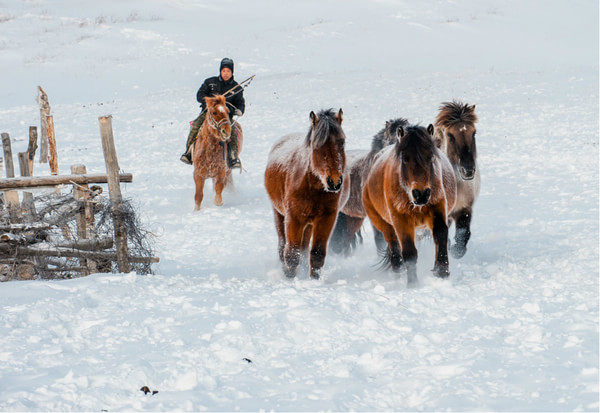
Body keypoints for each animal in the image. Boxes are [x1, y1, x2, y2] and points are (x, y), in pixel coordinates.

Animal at [264, 108, 350, 278]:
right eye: (316, 146)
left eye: (342, 142)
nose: (334, 181)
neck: (313, 187)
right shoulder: (293, 217)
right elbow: (291, 253)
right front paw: (289, 279)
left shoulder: (326, 218)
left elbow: (317, 253)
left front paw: (313, 280)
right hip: (279, 214)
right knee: (283, 246)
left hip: (309, 223)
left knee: (304, 249)